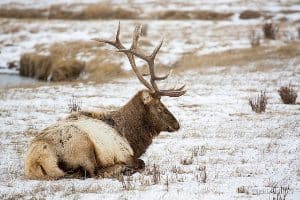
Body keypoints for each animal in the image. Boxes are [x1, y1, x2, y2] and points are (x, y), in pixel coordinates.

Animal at [25, 23, 185, 180]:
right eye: (159, 107)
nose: (177, 124)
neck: (132, 137)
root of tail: (37, 160)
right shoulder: (125, 153)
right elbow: (140, 162)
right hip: (81, 144)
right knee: (91, 173)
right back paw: (123, 169)